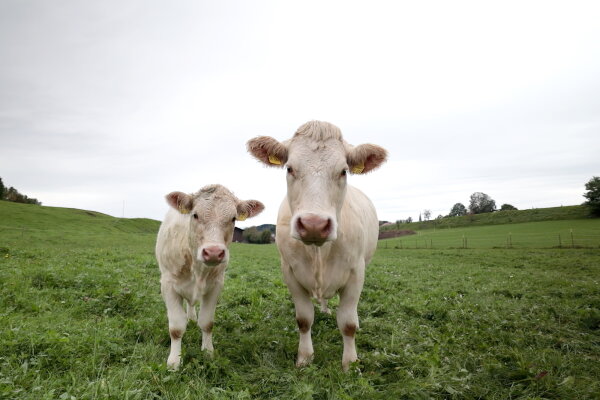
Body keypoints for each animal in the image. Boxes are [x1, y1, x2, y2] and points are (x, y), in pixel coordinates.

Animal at [156, 184, 264, 368]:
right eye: (195, 215)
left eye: (233, 218)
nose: (213, 252)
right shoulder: (168, 284)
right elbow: (176, 328)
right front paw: (174, 361)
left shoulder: (215, 285)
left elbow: (207, 323)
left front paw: (208, 352)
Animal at [246, 120, 386, 370]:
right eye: (289, 168)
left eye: (343, 171)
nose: (314, 224)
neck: (318, 251)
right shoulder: (290, 272)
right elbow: (304, 319)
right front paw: (304, 357)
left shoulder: (356, 273)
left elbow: (348, 323)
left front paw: (350, 363)